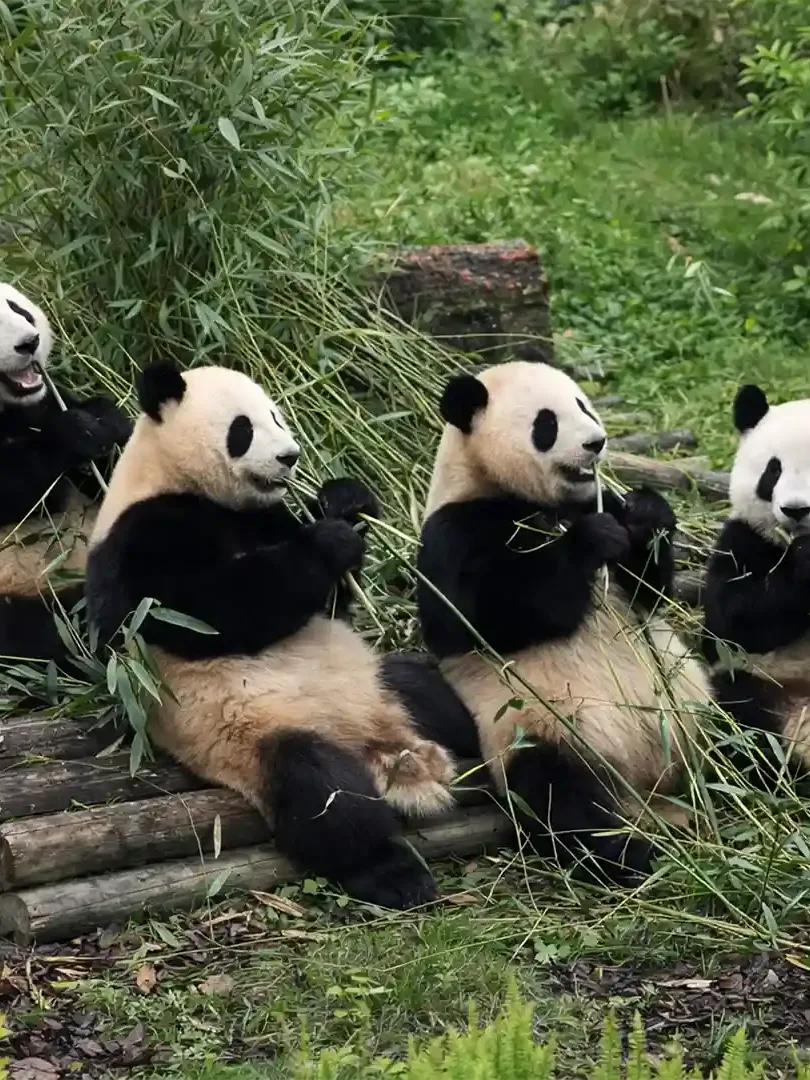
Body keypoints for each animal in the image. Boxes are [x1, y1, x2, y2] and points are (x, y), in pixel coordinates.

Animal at [84, 359, 470, 910]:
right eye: (243, 428)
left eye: (277, 415)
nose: (291, 456)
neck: (182, 482)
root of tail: (375, 742)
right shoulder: (142, 533)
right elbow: (200, 610)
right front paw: (330, 539)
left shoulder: (266, 516)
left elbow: (330, 606)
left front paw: (346, 502)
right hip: (262, 738)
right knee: (324, 794)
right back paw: (392, 873)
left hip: (379, 683)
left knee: (443, 701)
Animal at [415, 360, 714, 884]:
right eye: (546, 423)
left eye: (584, 406)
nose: (596, 442)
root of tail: (648, 781)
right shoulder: (456, 530)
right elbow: (479, 620)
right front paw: (591, 540)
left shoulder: (598, 498)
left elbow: (651, 591)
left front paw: (646, 512)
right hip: (543, 727)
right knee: (560, 797)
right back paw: (628, 856)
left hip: (693, 708)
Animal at [703, 384, 810, 785]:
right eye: (773, 470)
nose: (796, 510)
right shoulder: (744, 538)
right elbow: (734, 619)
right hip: (762, 682)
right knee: (739, 717)